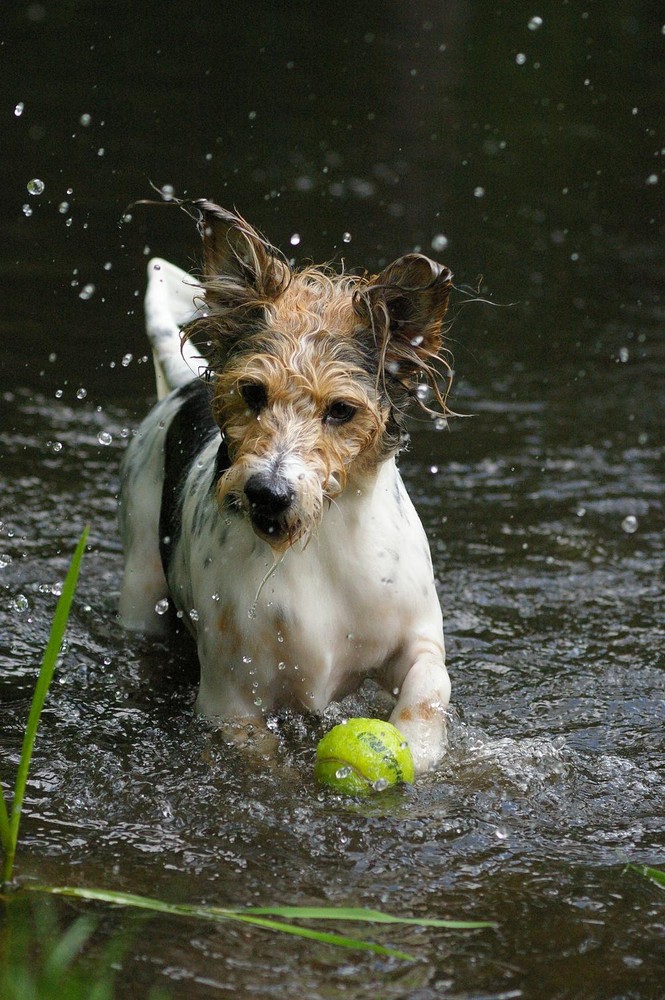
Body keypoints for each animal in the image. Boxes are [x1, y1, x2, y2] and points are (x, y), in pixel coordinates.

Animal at [118, 199, 452, 768]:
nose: (268, 494)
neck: (315, 548)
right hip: (140, 582)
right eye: (252, 391)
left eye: (341, 409)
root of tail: (183, 386)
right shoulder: (230, 703)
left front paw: (418, 751)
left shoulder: (418, 638)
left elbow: (429, 690)